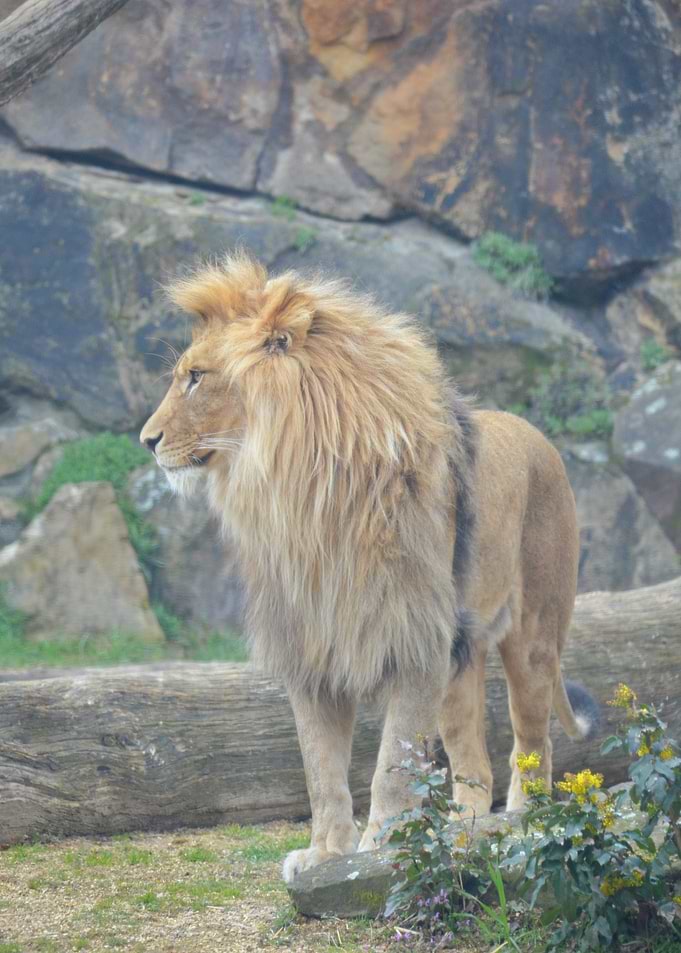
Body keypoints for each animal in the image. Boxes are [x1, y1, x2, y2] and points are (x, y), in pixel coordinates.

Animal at [140, 253, 597, 883]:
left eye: (196, 377)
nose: (147, 440)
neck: (303, 497)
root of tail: (535, 433)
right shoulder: (311, 650)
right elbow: (321, 770)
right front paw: (327, 853)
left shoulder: (415, 640)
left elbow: (392, 764)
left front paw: (381, 843)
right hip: (460, 659)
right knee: (473, 762)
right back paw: (461, 828)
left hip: (532, 639)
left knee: (533, 743)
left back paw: (525, 822)